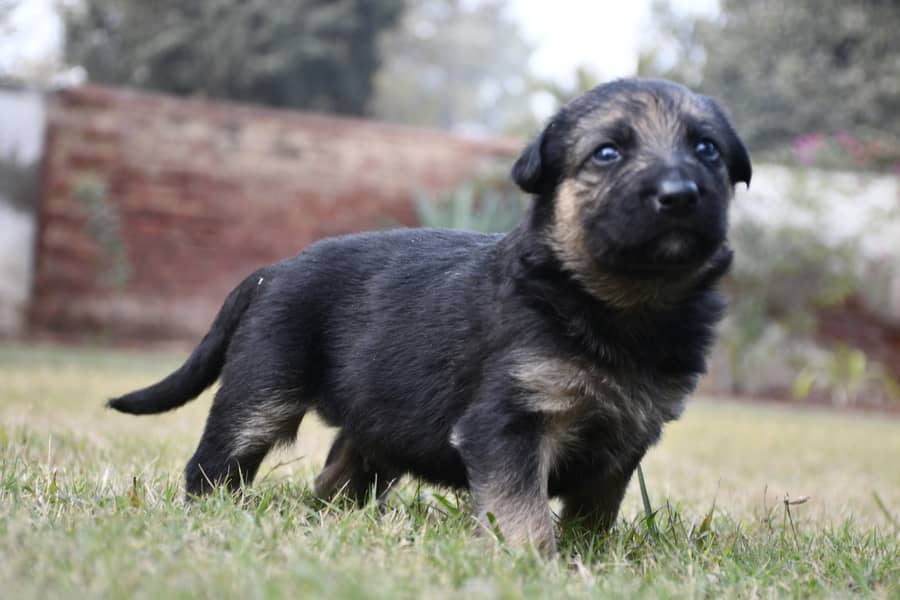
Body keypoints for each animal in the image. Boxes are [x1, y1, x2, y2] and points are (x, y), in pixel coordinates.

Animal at [109, 78, 748, 552]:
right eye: (608, 153)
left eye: (707, 150)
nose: (680, 194)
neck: (617, 303)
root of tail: (275, 268)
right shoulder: (506, 424)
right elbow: (522, 512)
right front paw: (531, 566)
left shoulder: (624, 439)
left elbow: (594, 513)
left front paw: (585, 561)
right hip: (262, 390)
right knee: (215, 462)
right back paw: (211, 516)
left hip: (377, 423)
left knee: (336, 477)